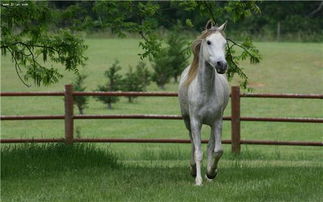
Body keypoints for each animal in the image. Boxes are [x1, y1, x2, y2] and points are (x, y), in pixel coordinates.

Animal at [180, 20, 230, 186]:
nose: (222, 65)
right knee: (193, 144)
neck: (206, 92)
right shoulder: (196, 122)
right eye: (209, 42)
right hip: (187, 121)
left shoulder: (217, 122)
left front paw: (211, 173)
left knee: (210, 147)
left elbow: (217, 150)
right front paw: (198, 180)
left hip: (213, 124)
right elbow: (198, 152)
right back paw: (192, 169)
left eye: (225, 43)